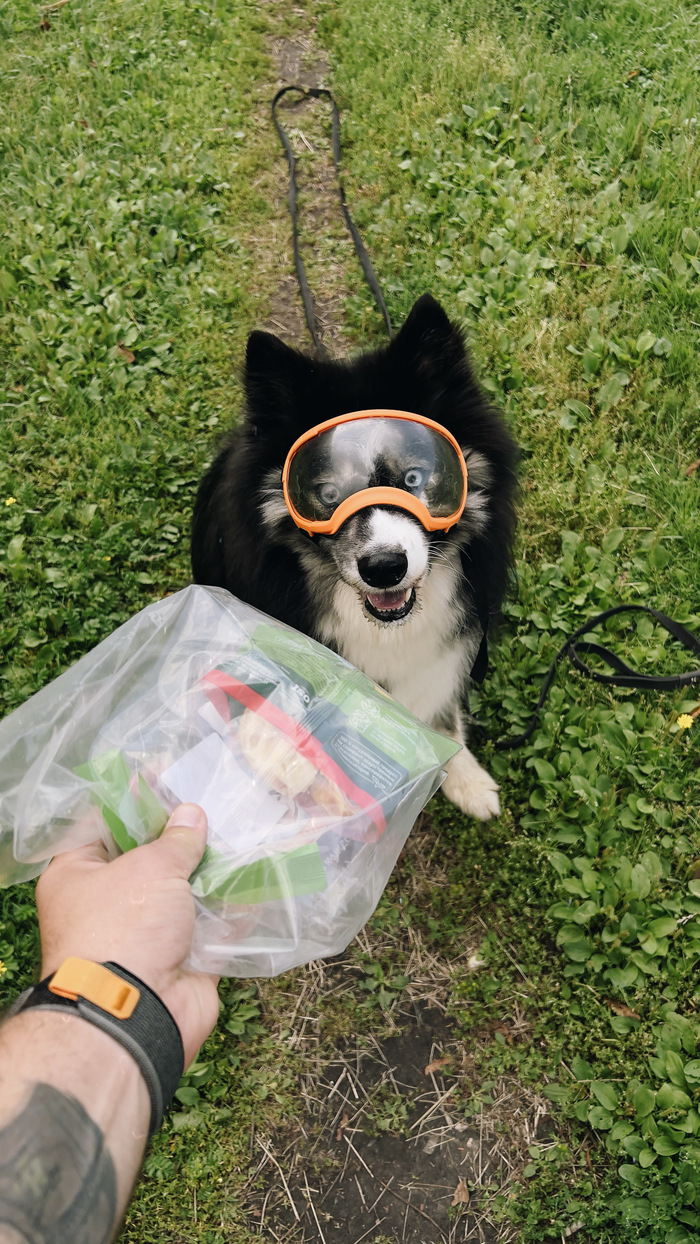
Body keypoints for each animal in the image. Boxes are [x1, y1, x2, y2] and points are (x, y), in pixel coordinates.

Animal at [191, 294, 518, 819]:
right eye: (325, 492)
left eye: (415, 477)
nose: (384, 568)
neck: (386, 628)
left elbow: (443, 717)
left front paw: (467, 780)